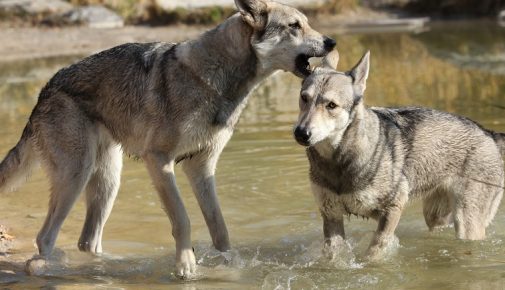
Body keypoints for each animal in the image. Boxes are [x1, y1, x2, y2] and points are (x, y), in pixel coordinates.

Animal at [0, 0, 334, 276]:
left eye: (307, 22)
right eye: (295, 25)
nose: (331, 42)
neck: (217, 81)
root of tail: (44, 91)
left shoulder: (201, 167)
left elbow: (220, 228)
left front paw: (230, 266)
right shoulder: (159, 161)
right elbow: (183, 219)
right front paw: (186, 267)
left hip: (109, 182)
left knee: (87, 241)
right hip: (76, 176)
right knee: (45, 237)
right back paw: (49, 269)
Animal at [294, 50, 502, 260]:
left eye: (331, 105)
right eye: (304, 98)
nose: (301, 133)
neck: (338, 163)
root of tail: (490, 134)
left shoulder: (394, 207)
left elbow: (375, 250)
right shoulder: (331, 215)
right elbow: (333, 255)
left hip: (467, 224)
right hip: (436, 217)